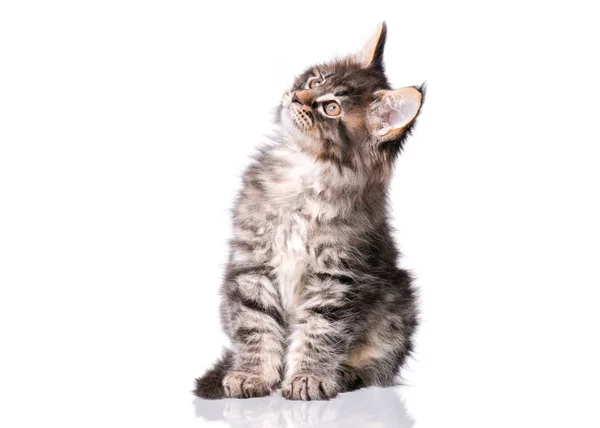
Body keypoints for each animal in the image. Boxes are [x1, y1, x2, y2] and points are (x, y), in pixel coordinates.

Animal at [195, 21, 424, 400]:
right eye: (316, 81)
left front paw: (308, 378)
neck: (304, 170)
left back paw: (345, 375)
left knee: (377, 366)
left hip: (399, 302)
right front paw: (252, 375)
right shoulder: (253, 263)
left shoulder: (337, 275)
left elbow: (320, 331)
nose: (296, 96)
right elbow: (256, 325)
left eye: (331, 109)